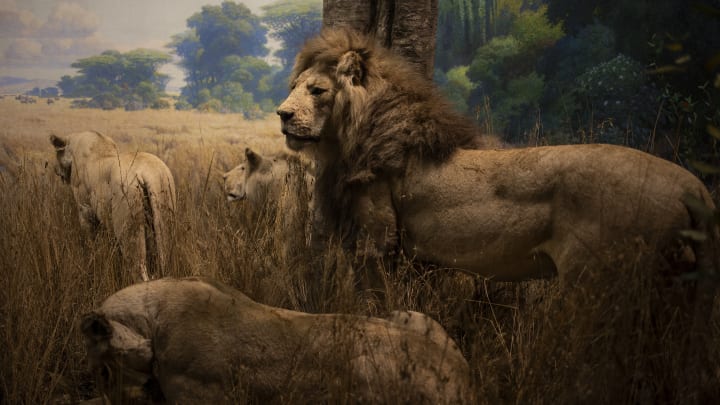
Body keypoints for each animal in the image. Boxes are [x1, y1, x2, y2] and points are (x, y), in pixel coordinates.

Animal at [50, 131, 176, 280]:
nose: (55, 170)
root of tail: (148, 174)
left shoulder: (85, 210)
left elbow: (91, 243)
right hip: (164, 214)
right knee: (164, 259)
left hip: (128, 226)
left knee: (139, 269)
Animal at [80, 276, 472, 402]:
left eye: (103, 370)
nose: (98, 389)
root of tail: (465, 381)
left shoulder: (196, 393)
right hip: (412, 315)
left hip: (362, 368)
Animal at [278, 27, 720, 284]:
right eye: (294, 87)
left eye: (316, 90)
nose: (281, 114)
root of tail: (695, 187)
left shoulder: (379, 240)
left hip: (594, 277)